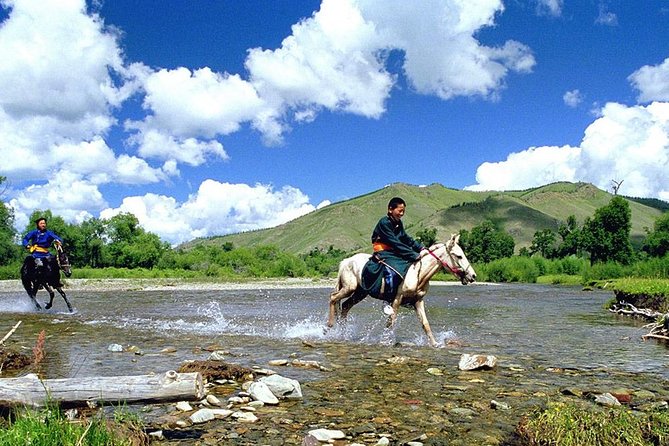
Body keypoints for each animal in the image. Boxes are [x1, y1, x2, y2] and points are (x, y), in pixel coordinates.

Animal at [328, 233, 474, 348]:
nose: (472, 276)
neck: (418, 273)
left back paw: (343, 333)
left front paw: (435, 344)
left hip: (360, 293)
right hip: (349, 288)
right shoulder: (397, 299)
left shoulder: (418, 301)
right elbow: (391, 322)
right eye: (459, 256)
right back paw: (329, 325)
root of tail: (346, 261)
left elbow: (425, 324)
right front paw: (385, 341)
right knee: (333, 297)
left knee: (345, 306)